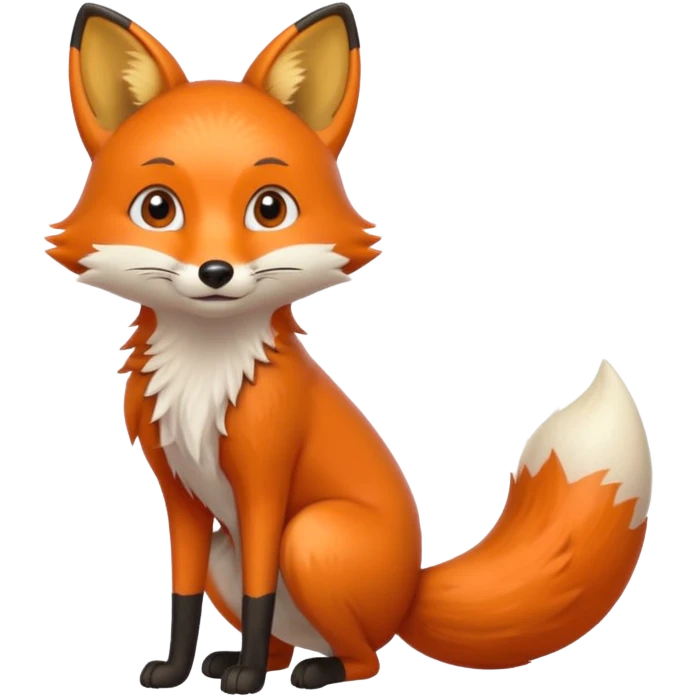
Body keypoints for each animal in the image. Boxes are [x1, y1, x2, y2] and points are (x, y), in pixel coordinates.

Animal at [45, 2, 655, 694]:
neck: (207, 373)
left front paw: (244, 680)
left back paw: (310, 670)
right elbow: (182, 597)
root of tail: (411, 591)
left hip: (311, 537)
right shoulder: (181, 495)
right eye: (157, 208)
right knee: (287, 639)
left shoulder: (265, 484)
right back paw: (249, 663)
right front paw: (177, 670)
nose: (215, 272)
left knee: (365, 656)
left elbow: (258, 594)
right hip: (239, 549)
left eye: (270, 209)